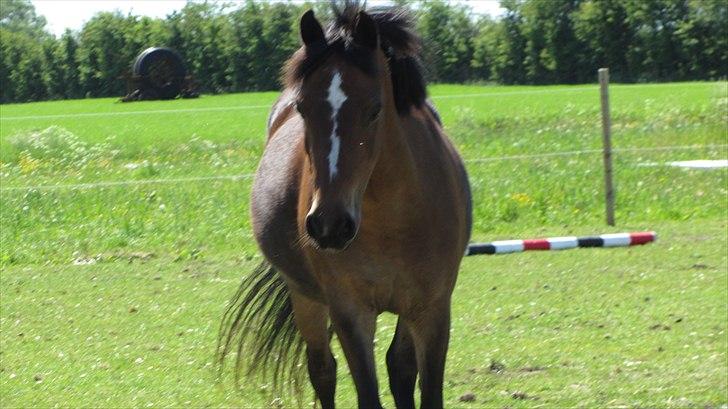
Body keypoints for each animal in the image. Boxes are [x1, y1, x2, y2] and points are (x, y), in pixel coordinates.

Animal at [219, 3, 472, 408]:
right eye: (303, 108)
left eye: (375, 109)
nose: (330, 225)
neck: (394, 222)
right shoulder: (350, 313)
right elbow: (365, 393)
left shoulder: (432, 308)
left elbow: (424, 387)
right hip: (305, 297)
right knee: (322, 370)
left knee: (399, 367)